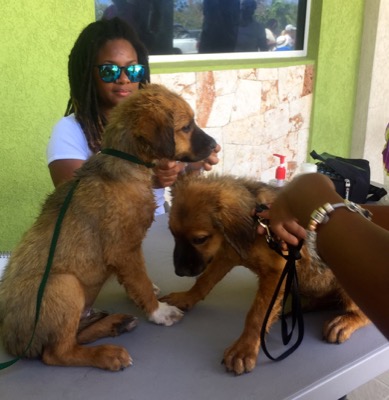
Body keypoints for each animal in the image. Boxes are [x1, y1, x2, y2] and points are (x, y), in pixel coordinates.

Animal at [0, 84, 217, 372]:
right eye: (186, 127)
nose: (215, 145)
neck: (127, 163)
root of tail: (12, 340)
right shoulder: (123, 248)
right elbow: (139, 279)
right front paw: (158, 311)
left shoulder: (127, 249)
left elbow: (136, 280)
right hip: (63, 285)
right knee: (58, 352)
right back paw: (107, 354)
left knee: (74, 336)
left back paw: (115, 324)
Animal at [161, 174, 370, 376]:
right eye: (172, 233)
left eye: (200, 239)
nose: (179, 272)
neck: (257, 223)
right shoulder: (226, 256)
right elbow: (204, 281)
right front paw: (186, 297)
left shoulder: (276, 273)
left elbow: (257, 314)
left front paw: (244, 349)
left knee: (360, 313)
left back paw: (343, 322)